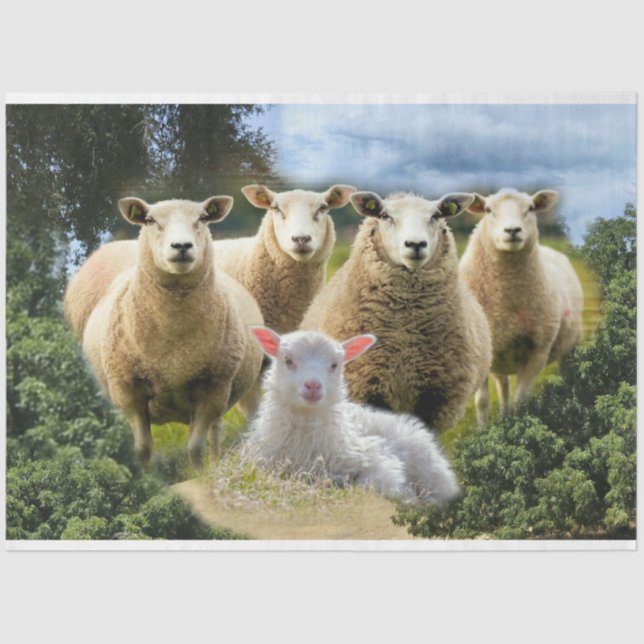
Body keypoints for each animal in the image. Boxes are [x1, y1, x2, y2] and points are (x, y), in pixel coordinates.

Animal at [79, 196, 264, 467]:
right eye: (150, 220)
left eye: (202, 218)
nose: (182, 245)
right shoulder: (128, 391)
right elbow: (142, 447)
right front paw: (143, 474)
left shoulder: (213, 390)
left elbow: (195, 447)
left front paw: (200, 472)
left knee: (215, 433)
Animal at [242, 327, 461, 503]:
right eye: (288, 360)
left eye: (334, 364)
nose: (313, 386)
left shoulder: (374, 457)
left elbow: (373, 483)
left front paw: (407, 497)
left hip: (429, 469)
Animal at [300, 191, 492, 432]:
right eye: (385, 215)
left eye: (436, 215)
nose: (415, 244)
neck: (404, 332)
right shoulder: (367, 387)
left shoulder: (435, 396)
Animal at [458, 188, 583, 419]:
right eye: (488, 210)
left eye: (531, 208)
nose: (512, 230)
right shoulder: (478, 353)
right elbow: (482, 401)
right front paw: (485, 427)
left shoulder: (537, 352)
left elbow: (521, 402)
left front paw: (518, 424)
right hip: (498, 358)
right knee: (503, 388)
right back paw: (503, 417)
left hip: (569, 347)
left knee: (566, 376)